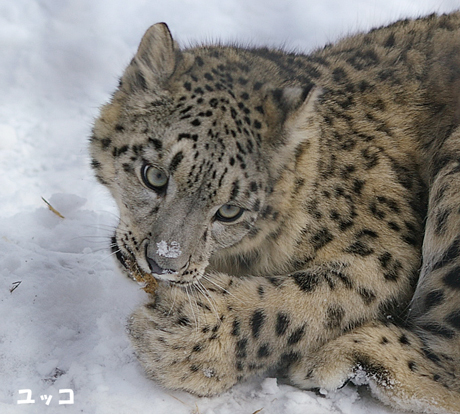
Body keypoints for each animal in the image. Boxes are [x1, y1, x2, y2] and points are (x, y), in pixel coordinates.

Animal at [89, 11, 460, 412]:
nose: (162, 264)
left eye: (229, 211)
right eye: (154, 175)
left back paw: (344, 356)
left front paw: (184, 334)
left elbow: (316, 300)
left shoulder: (386, 249)